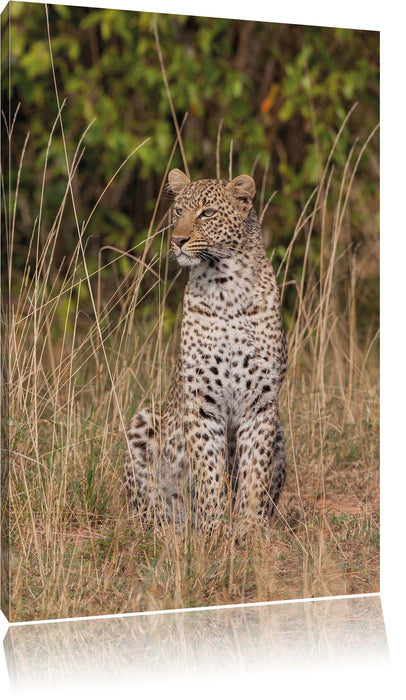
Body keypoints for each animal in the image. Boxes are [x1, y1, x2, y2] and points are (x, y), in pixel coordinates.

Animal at [124, 168, 287, 538]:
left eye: (207, 213)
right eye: (178, 211)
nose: (177, 240)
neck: (225, 287)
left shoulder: (261, 401)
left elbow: (254, 472)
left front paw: (249, 531)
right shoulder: (201, 401)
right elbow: (208, 470)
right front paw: (213, 530)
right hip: (144, 421)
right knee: (145, 507)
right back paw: (169, 529)